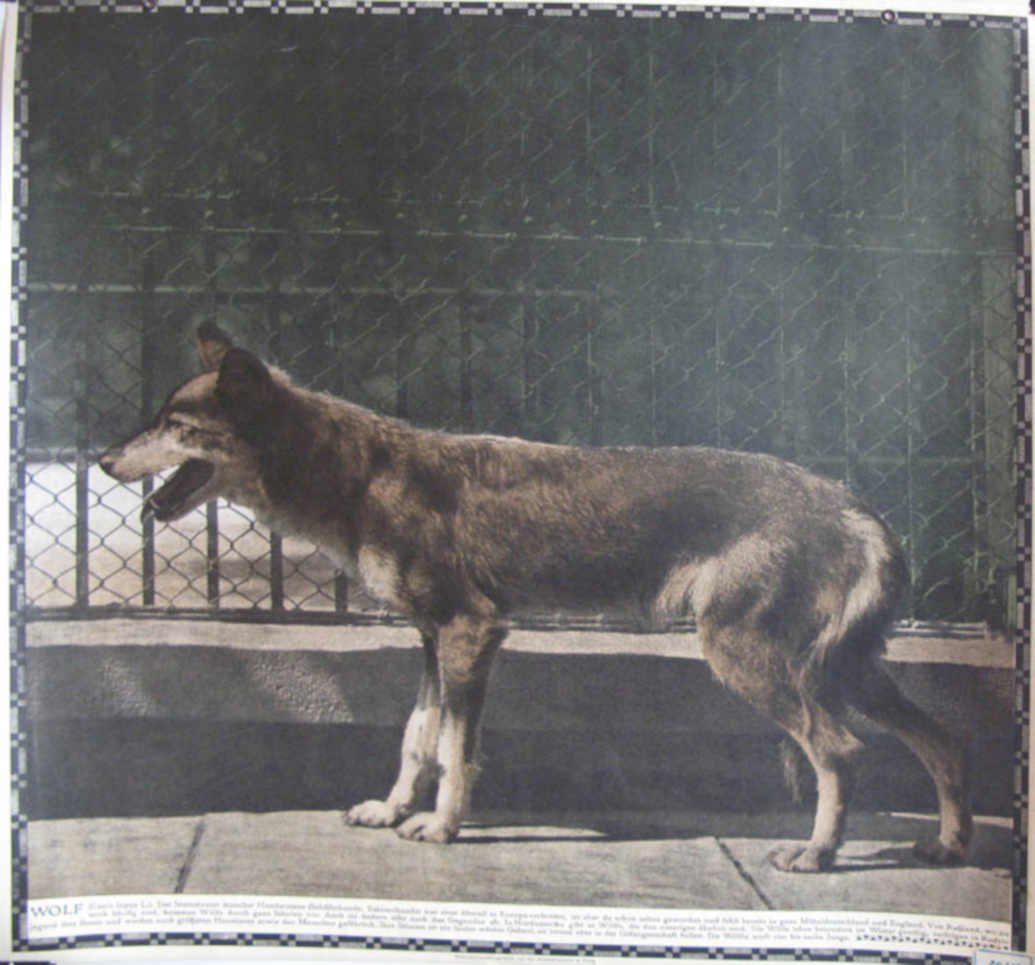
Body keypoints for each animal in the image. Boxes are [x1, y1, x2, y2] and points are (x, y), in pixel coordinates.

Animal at [99, 322, 972, 872]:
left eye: (173, 423)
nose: (104, 459)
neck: (360, 474)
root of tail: (850, 504)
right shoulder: (431, 641)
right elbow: (416, 739)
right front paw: (392, 810)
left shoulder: (471, 633)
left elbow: (455, 751)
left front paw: (441, 827)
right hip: (844, 670)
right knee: (939, 740)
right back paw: (948, 845)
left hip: (753, 662)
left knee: (841, 751)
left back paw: (817, 854)